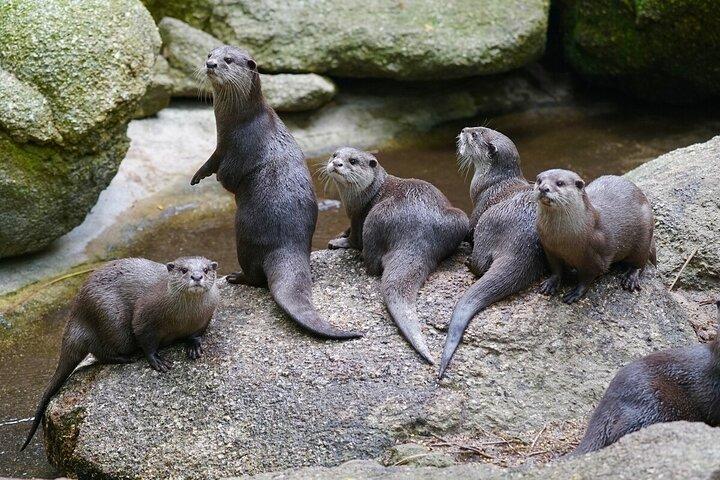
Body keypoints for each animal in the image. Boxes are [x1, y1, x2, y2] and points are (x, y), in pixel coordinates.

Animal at [21, 256, 219, 451]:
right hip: (111, 321)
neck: (183, 319)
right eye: (184, 270)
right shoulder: (144, 317)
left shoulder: (205, 317)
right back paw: (127, 357)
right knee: (100, 351)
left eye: (206, 270)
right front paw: (156, 360)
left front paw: (194, 346)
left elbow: (196, 334)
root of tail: (77, 314)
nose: (196, 277)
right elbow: (146, 340)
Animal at [190, 45, 360, 339]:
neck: (239, 121)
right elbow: (210, 161)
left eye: (228, 60)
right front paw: (198, 176)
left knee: (256, 277)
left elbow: (227, 177)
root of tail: (287, 246)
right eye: (210, 53)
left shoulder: (237, 149)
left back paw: (236, 277)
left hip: (244, 234)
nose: (210, 64)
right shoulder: (220, 146)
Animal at [324, 148, 468, 363]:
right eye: (334, 155)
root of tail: (418, 233)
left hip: (375, 216)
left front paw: (340, 242)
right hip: (459, 219)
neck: (367, 194)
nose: (336, 163)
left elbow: (354, 238)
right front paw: (341, 233)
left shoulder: (359, 216)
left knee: (372, 263)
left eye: (353, 161)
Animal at [438, 127, 546, 378]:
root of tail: (522, 246)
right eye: (479, 128)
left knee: (480, 264)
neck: (493, 181)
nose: (463, 129)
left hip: (488, 223)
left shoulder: (480, 204)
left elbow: (469, 228)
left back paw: (469, 261)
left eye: (475, 135)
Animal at [534, 169, 656, 304]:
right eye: (539, 180)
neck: (561, 239)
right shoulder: (549, 249)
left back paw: (631, 278)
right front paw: (551, 283)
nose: (543, 188)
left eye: (560, 183)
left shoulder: (594, 256)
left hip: (644, 237)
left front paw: (576, 292)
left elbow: (588, 277)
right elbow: (556, 268)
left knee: (641, 261)